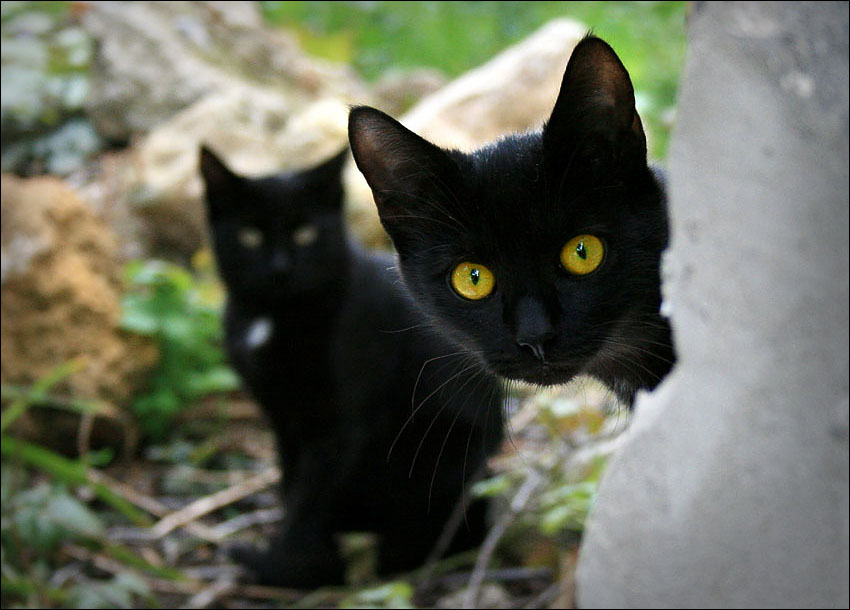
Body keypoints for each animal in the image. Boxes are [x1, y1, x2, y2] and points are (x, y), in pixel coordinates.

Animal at [199, 145, 504, 588]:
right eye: (249, 235)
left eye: (306, 233)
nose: (280, 268)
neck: (274, 315)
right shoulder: (283, 419)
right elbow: (292, 483)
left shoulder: (338, 425)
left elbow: (309, 501)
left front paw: (285, 566)